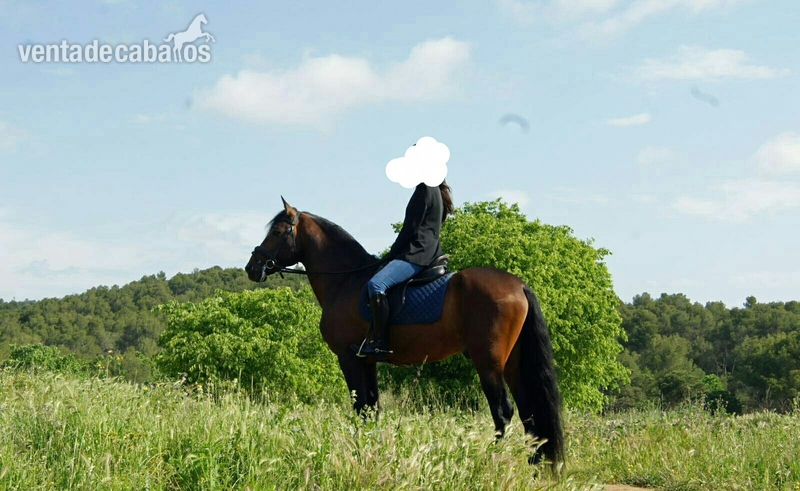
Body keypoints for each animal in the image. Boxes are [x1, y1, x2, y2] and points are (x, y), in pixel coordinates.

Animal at [245, 198, 564, 466]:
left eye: (277, 232)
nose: (252, 267)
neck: (345, 281)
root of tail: (518, 285)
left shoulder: (347, 358)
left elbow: (360, 407)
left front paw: (358, 451)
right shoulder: (367, 360)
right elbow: (371, 409)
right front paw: (371, 450)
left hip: (488, 363)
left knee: (503, 412)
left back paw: (488, 461)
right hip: (512, 364)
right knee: (529, 414)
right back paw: (534, 464)